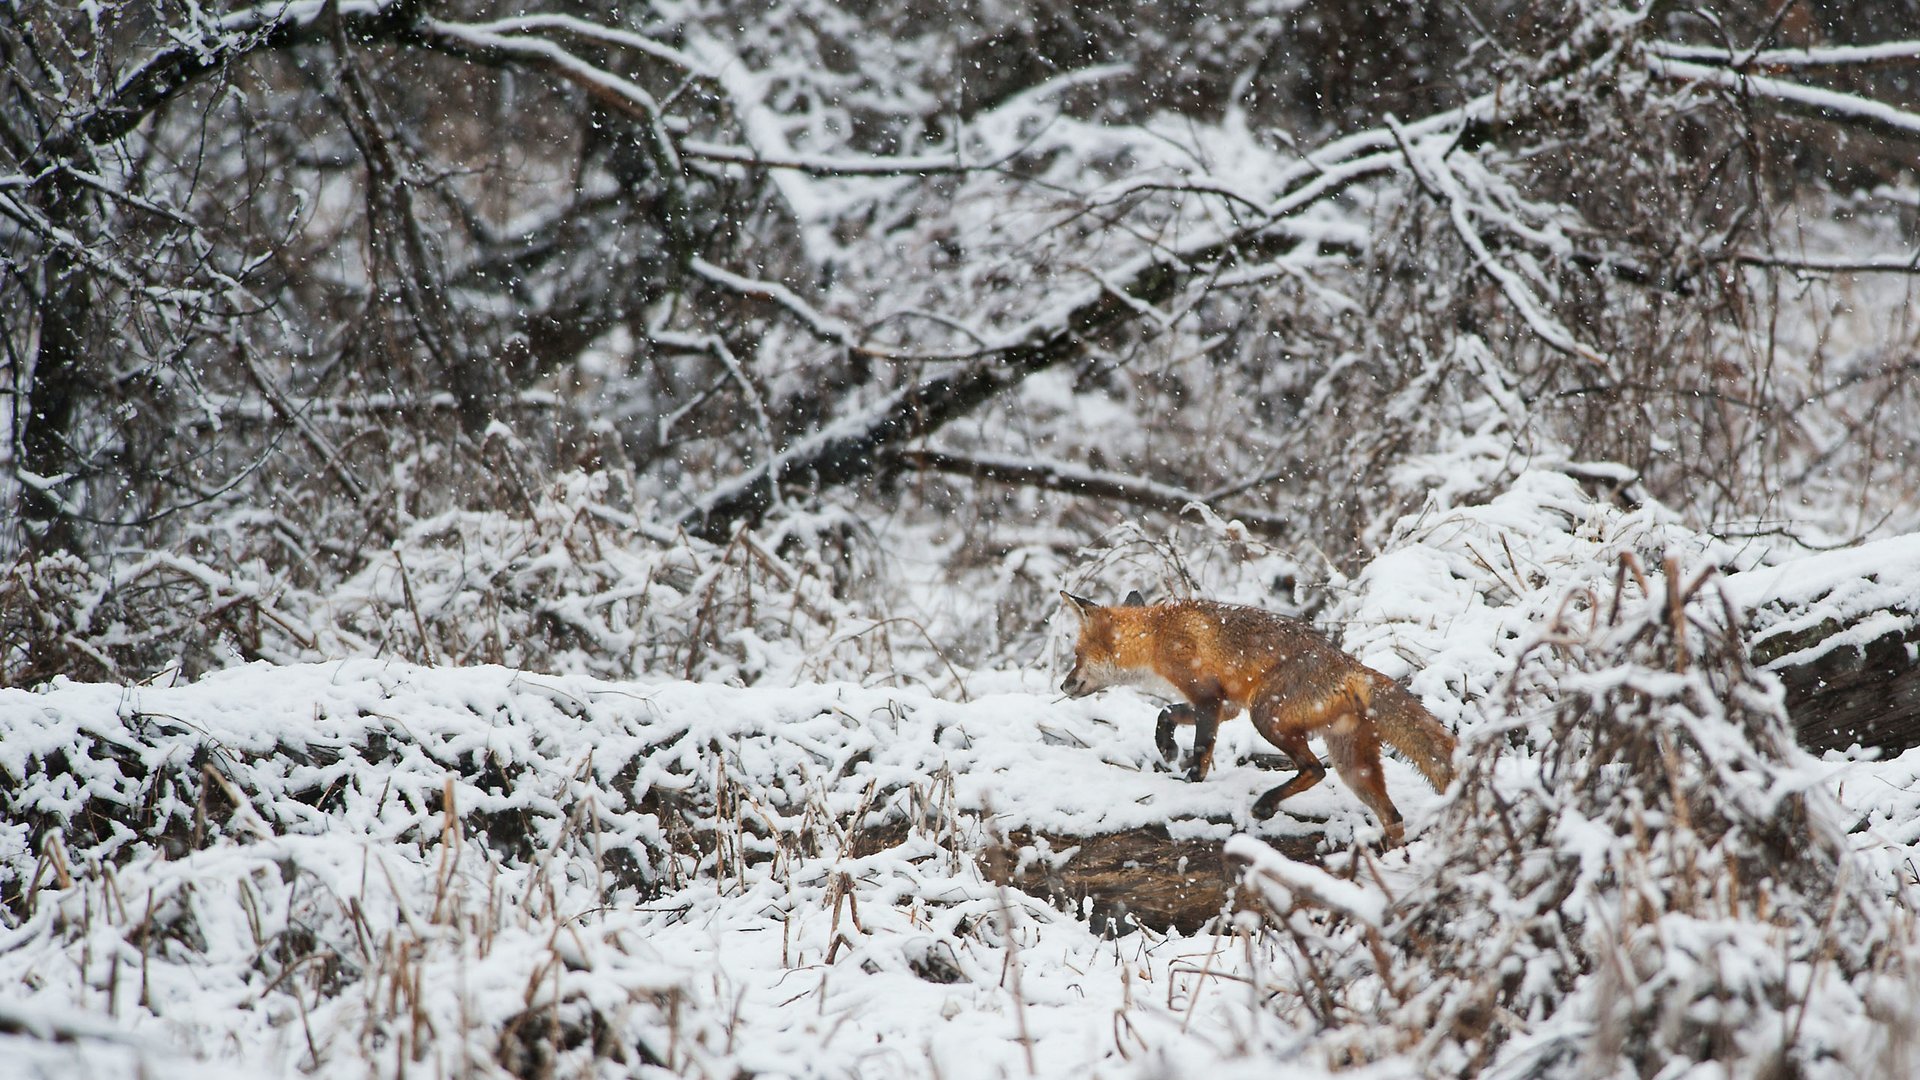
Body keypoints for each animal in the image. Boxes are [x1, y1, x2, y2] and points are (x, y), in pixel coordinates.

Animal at [1052, 588, 1451, 841]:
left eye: (1077, 655)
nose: (1063, 685)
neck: (1158, 635)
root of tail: (1353, 666)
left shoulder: (1208, 698)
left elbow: (1202, 749)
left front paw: (1190, 782)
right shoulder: (1225, 706)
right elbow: (1166, 712)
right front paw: (1166, 746)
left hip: (1266, 716)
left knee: (1314, 769)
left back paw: (1266, 804)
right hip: (1353, 766)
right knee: (1392, 817)